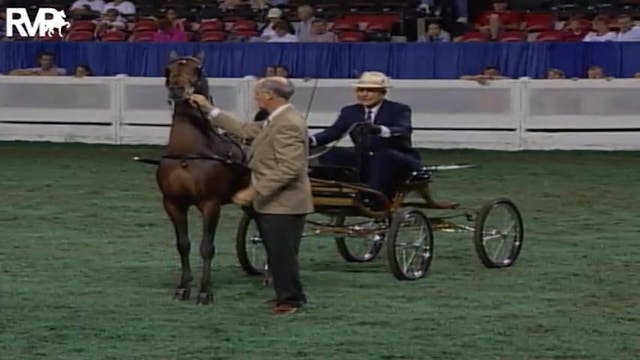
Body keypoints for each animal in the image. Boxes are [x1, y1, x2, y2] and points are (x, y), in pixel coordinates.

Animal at [156, 50, 251, 304]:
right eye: (168, 70)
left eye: (198, 70)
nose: (177, 90)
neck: (188, 154)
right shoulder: (173, 203)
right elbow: (183, 245)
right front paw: (182, 288)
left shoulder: (211, 204)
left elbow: (207, 247)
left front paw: (205, 291)